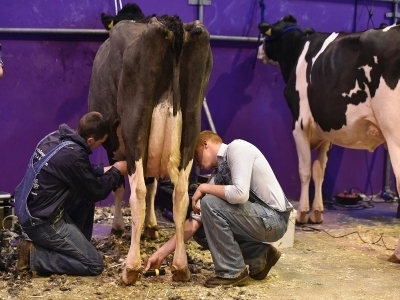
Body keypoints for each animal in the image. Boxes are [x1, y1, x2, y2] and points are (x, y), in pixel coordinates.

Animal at [88, 15, 212, 284]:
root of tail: (172, 24)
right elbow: (154, 184)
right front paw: (152, 227)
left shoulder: (115, 144)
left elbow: (120, 185)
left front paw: (118, 227)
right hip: (191, 121)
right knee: (181, 194)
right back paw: (180, 267)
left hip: (135, 122)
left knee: (138, 192)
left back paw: (131, 268)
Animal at [258, 14, 400, 262]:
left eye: (269, 33)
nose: (259, 51)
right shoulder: (326, 132)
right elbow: (319, 170)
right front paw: (317, 212)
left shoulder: (299, 124)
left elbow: (305, 170)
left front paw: (303, 212)